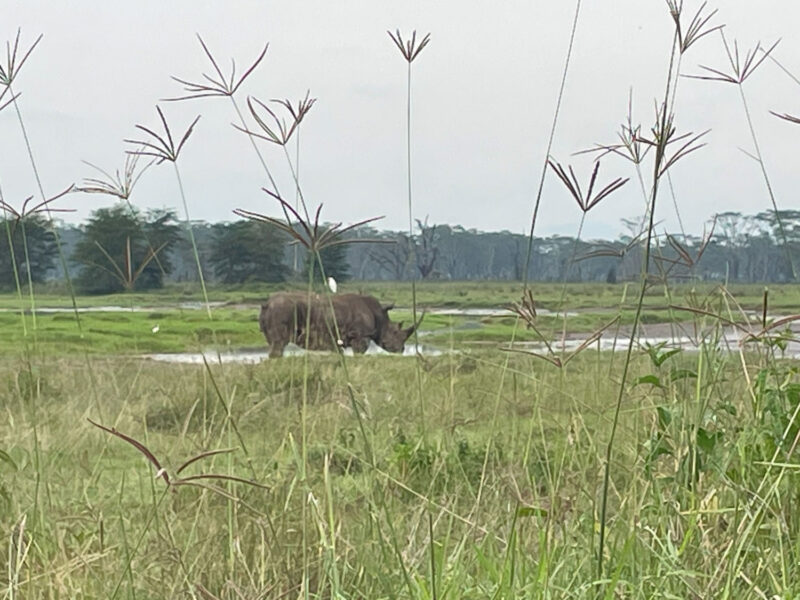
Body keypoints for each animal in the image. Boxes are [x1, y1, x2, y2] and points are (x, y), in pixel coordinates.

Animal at [260, 290, 418, 356]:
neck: (380, 317)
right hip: (282, 310)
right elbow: (359, 354)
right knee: (279, 344)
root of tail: (267, 303)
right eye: (395, 332)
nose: (402, 350)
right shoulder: (360, 336)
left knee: (274, 344)